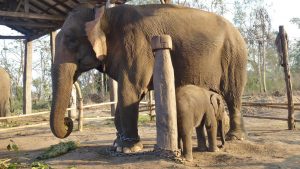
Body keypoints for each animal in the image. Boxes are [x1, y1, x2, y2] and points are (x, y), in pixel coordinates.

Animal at [50, 3, 247, 152]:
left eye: (71, 40)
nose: (68, 122)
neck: (104, 14)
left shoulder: (135, 45)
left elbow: (130, 90)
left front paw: (128, 148)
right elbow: (126, 93)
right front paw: (117, 144)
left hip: (234, 57)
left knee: (232, 96)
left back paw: (234, 137)